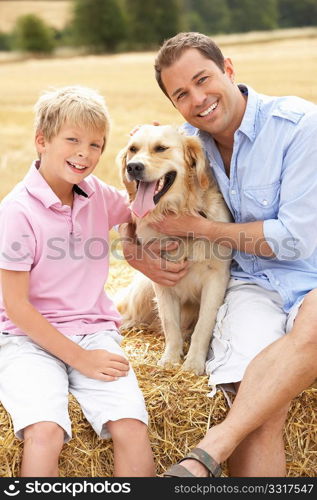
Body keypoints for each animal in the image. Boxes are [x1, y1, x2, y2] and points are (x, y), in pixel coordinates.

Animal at [115, 125, 231, 376]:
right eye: (133, 149)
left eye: (161, 148)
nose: (133, 167)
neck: (178, 209)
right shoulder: (161, 278)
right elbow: (170, 324)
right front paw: (170, 360)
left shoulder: (216, 278)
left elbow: (203, 325)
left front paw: (193, 364)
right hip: (143, 289)